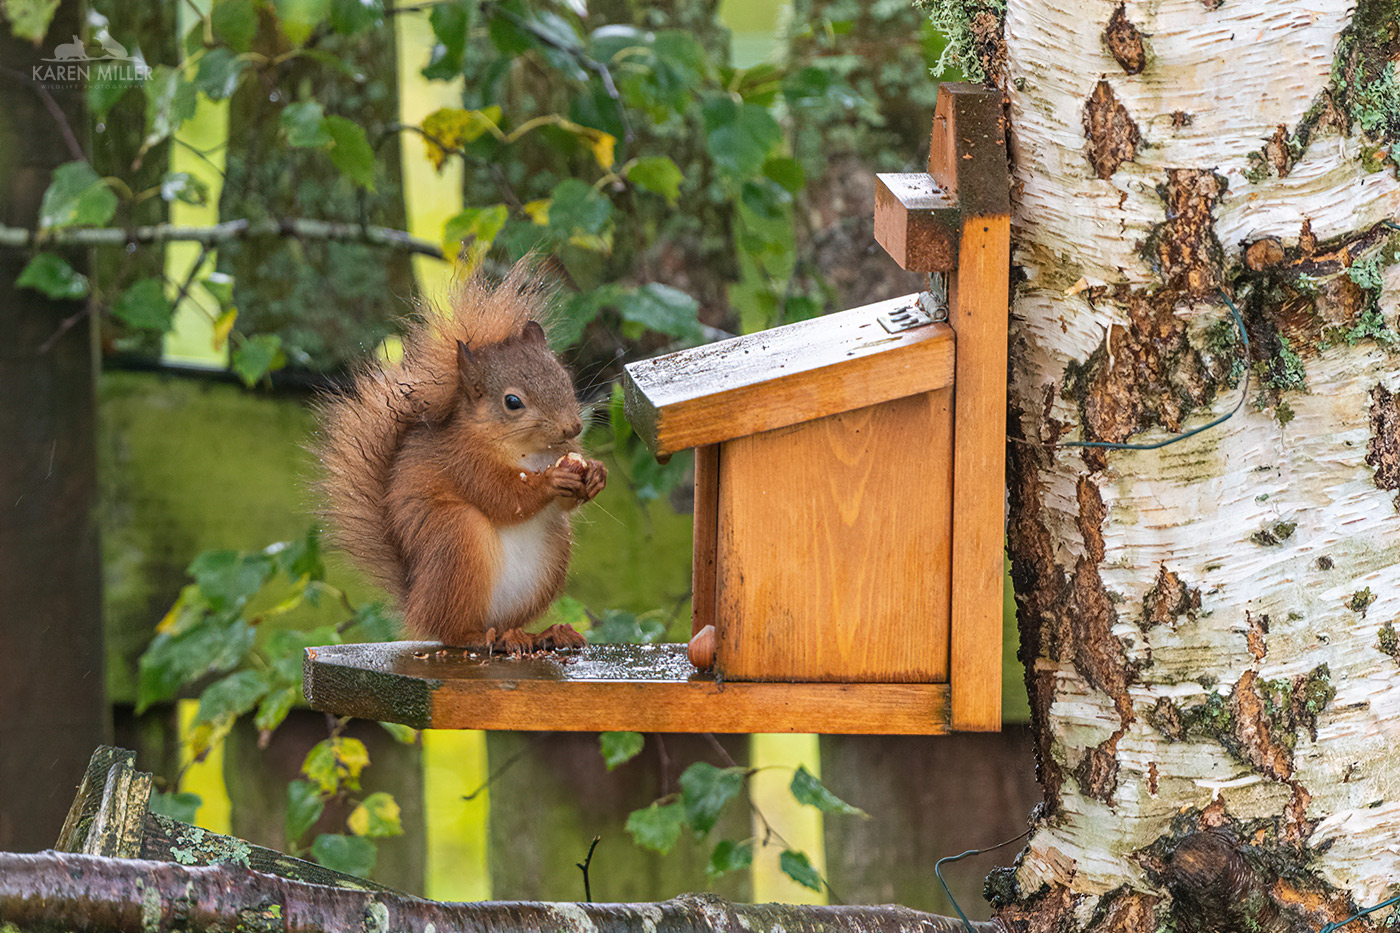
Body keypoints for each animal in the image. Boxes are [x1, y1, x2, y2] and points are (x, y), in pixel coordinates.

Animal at [314, 266, 607, 653]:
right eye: (512, 402)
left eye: (565, 378)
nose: (572, 427)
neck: (529, 451)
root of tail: (416, 602)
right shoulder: (462, 461)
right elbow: (503, 497)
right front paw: (551, 480)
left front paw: (596, 475)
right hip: (457, 540)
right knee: (452, 631)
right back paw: (479, 637)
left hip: (549, 555)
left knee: (507, 624)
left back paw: (540, 634)